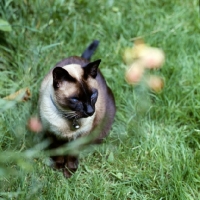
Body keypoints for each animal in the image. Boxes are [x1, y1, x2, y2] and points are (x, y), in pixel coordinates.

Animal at [38, 40, 115, 178]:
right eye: (75, 99)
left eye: (93, 95)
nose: (90, 111)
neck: (69, 117)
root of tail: (82, 58)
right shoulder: (52, 134)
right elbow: (58, 152)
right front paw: (58, 167)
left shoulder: (80, 137)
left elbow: (72, 156)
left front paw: (69, 172)